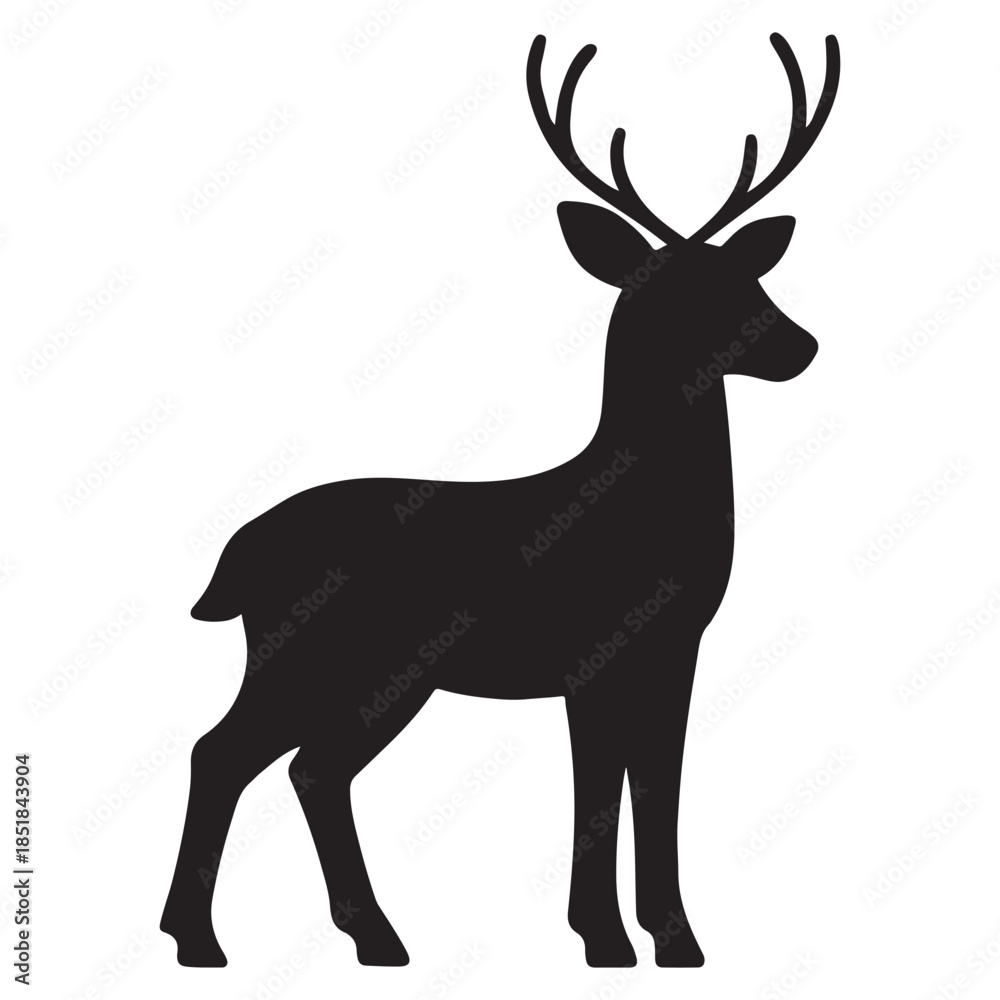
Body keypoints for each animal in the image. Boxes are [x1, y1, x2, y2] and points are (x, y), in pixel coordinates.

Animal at [161, 30, 839, 970]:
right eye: (676, 293)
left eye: (748, 276)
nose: (799, 346)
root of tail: (235, 555)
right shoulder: (594, 651)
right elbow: (600, 787)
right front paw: (605, 940)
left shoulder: (673, 651)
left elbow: (657, 783)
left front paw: (675, 941)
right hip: (310, 655)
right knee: (223, 752)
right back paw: (200, 941)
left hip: (375, 674)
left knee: (310, 767)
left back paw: (373, 938)